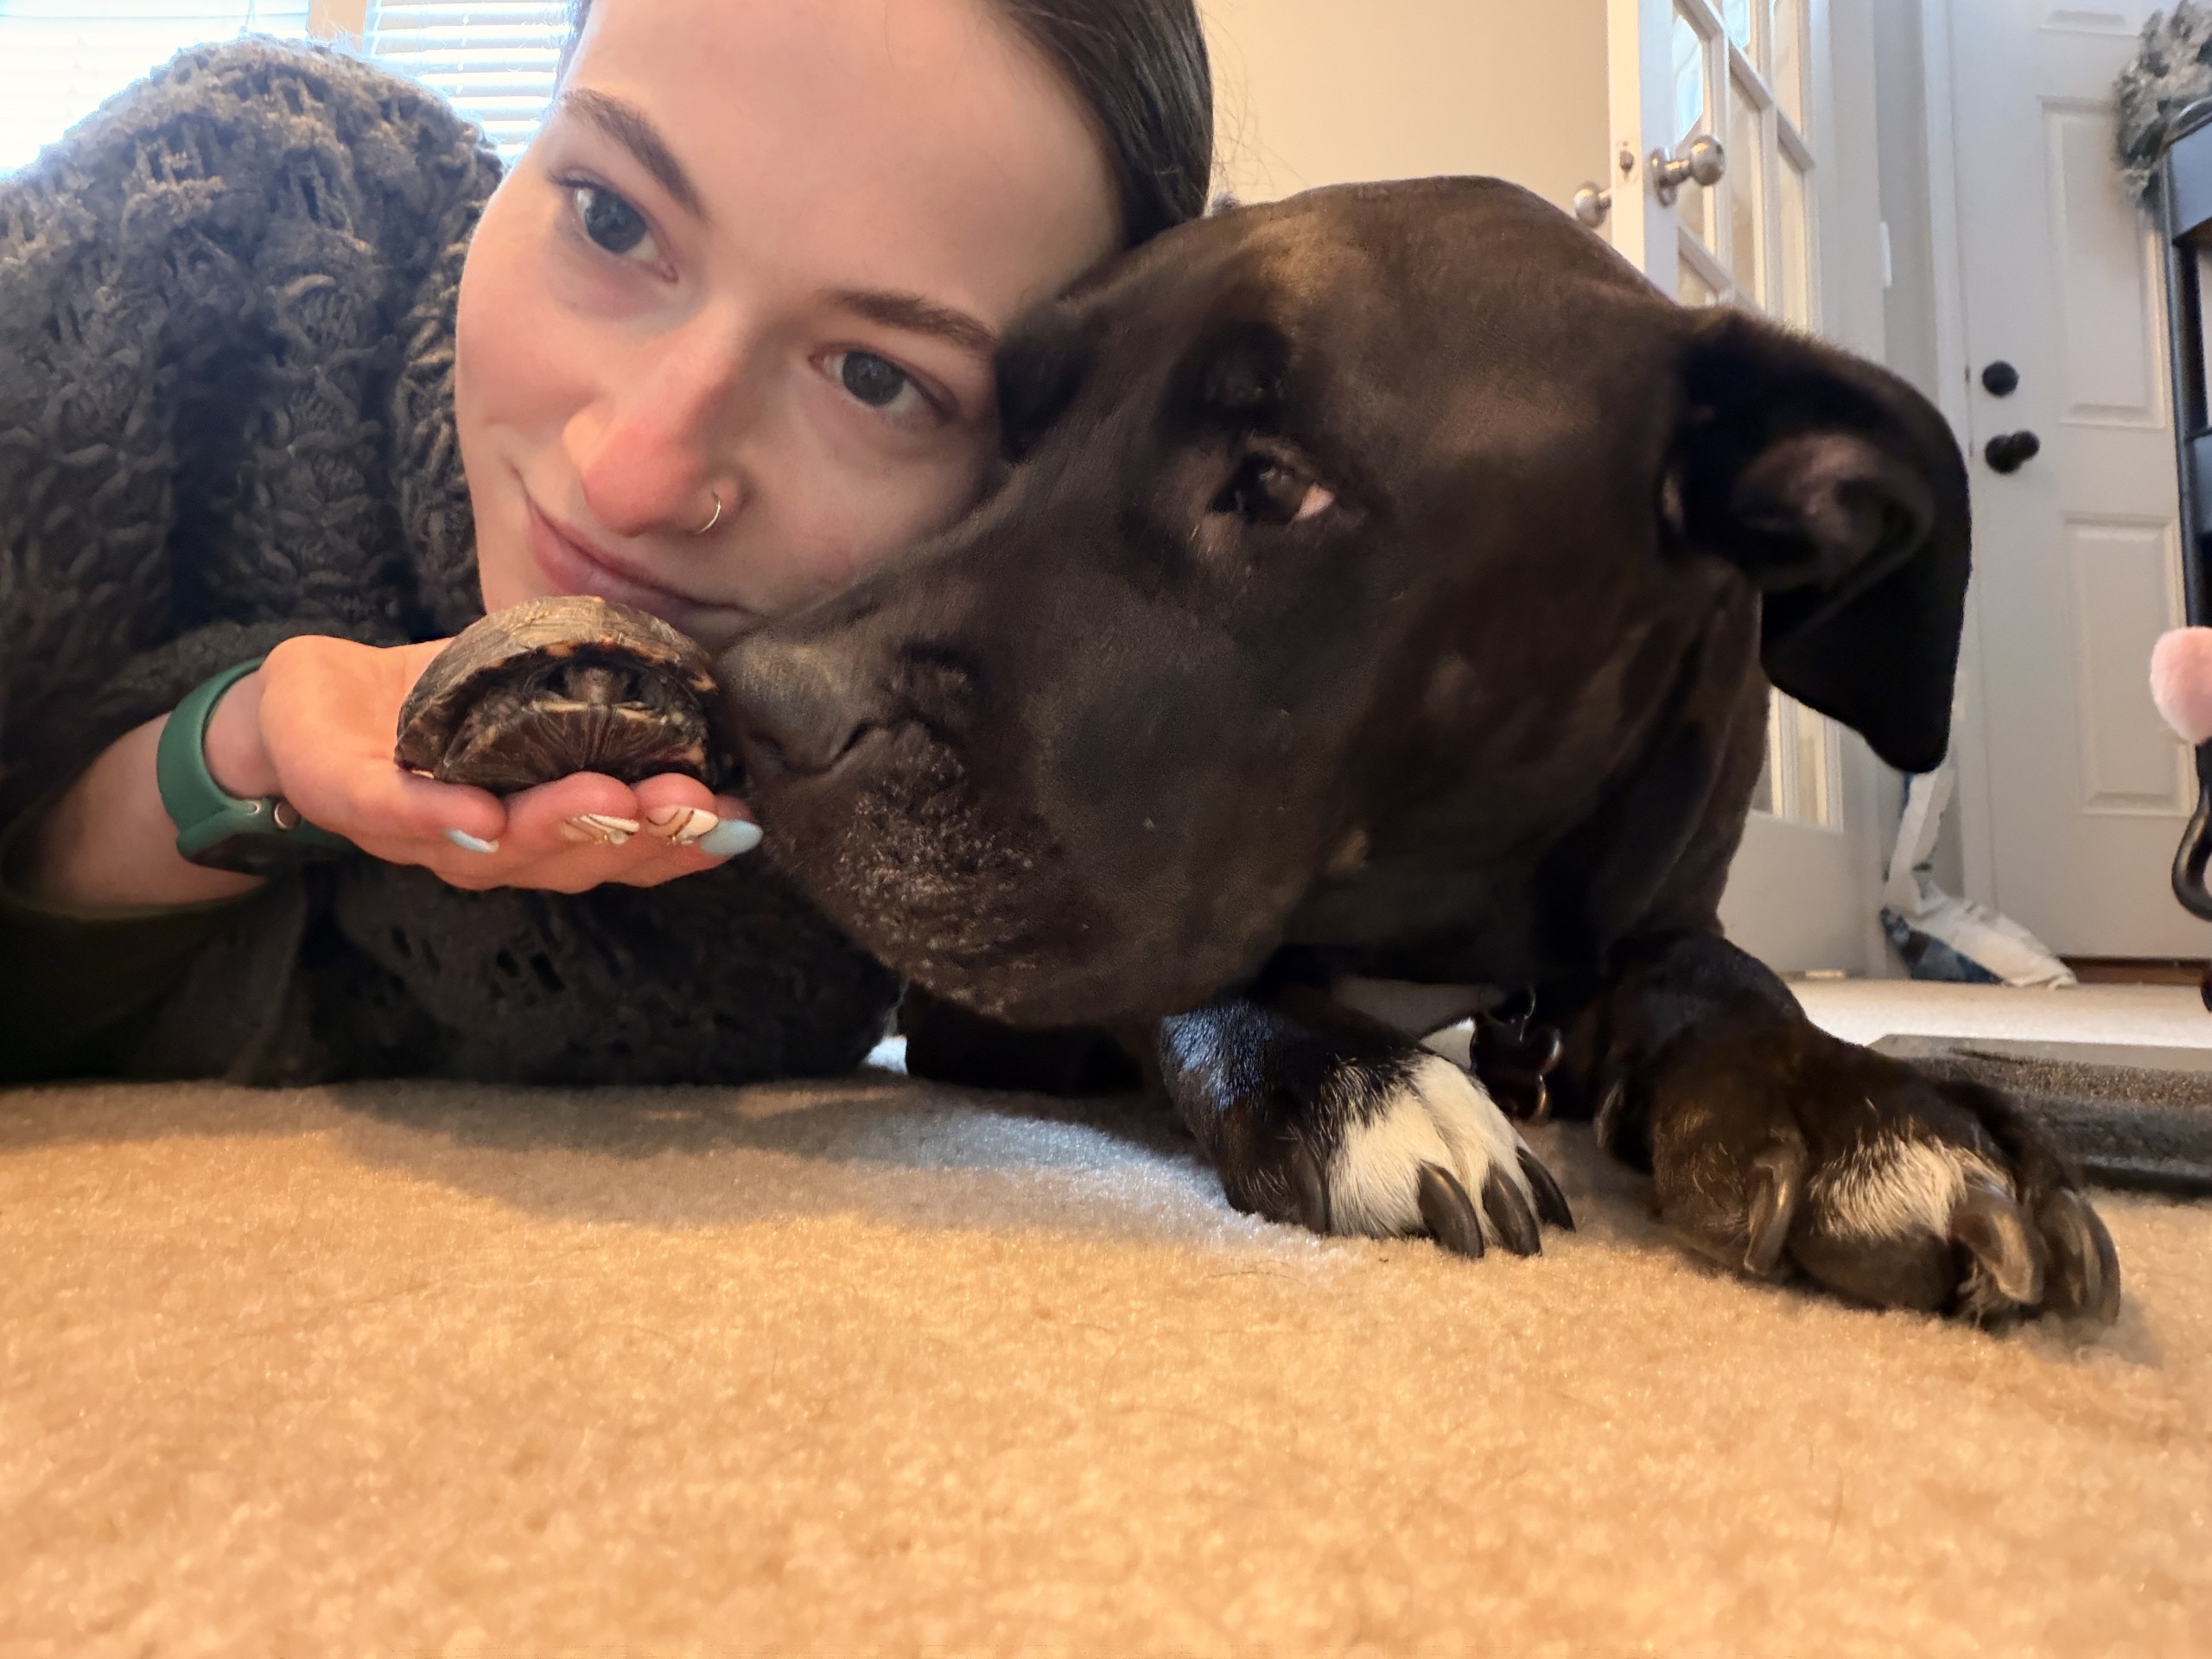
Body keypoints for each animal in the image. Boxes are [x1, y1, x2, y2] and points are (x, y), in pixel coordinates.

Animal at [718, 176, 2121, 1324]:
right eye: (1014, 428)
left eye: (1277, 486)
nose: (759, 701)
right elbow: (1187, 978)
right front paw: (1340, 1076)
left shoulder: (1658, 912)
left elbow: (1728, 979)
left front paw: (1855, 1110)